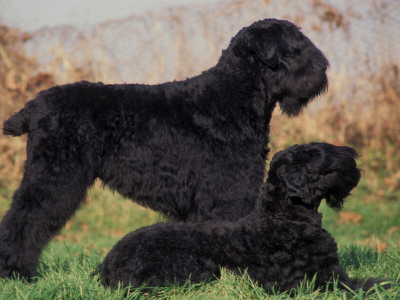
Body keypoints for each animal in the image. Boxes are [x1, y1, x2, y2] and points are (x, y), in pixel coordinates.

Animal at [0, 18, 328, 278]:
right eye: (293, 49)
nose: (324, 69)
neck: (233, 98)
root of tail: (35, 106)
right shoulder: (227, 194)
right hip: (54, 177)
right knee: (25, 219)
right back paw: (15, 271)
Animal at [97, 144, 384, 292]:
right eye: (314, 153)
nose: (351, 153)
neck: (284, 217)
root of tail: (107, 263)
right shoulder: (314, 278)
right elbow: (359, 284)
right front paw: (382, 284)